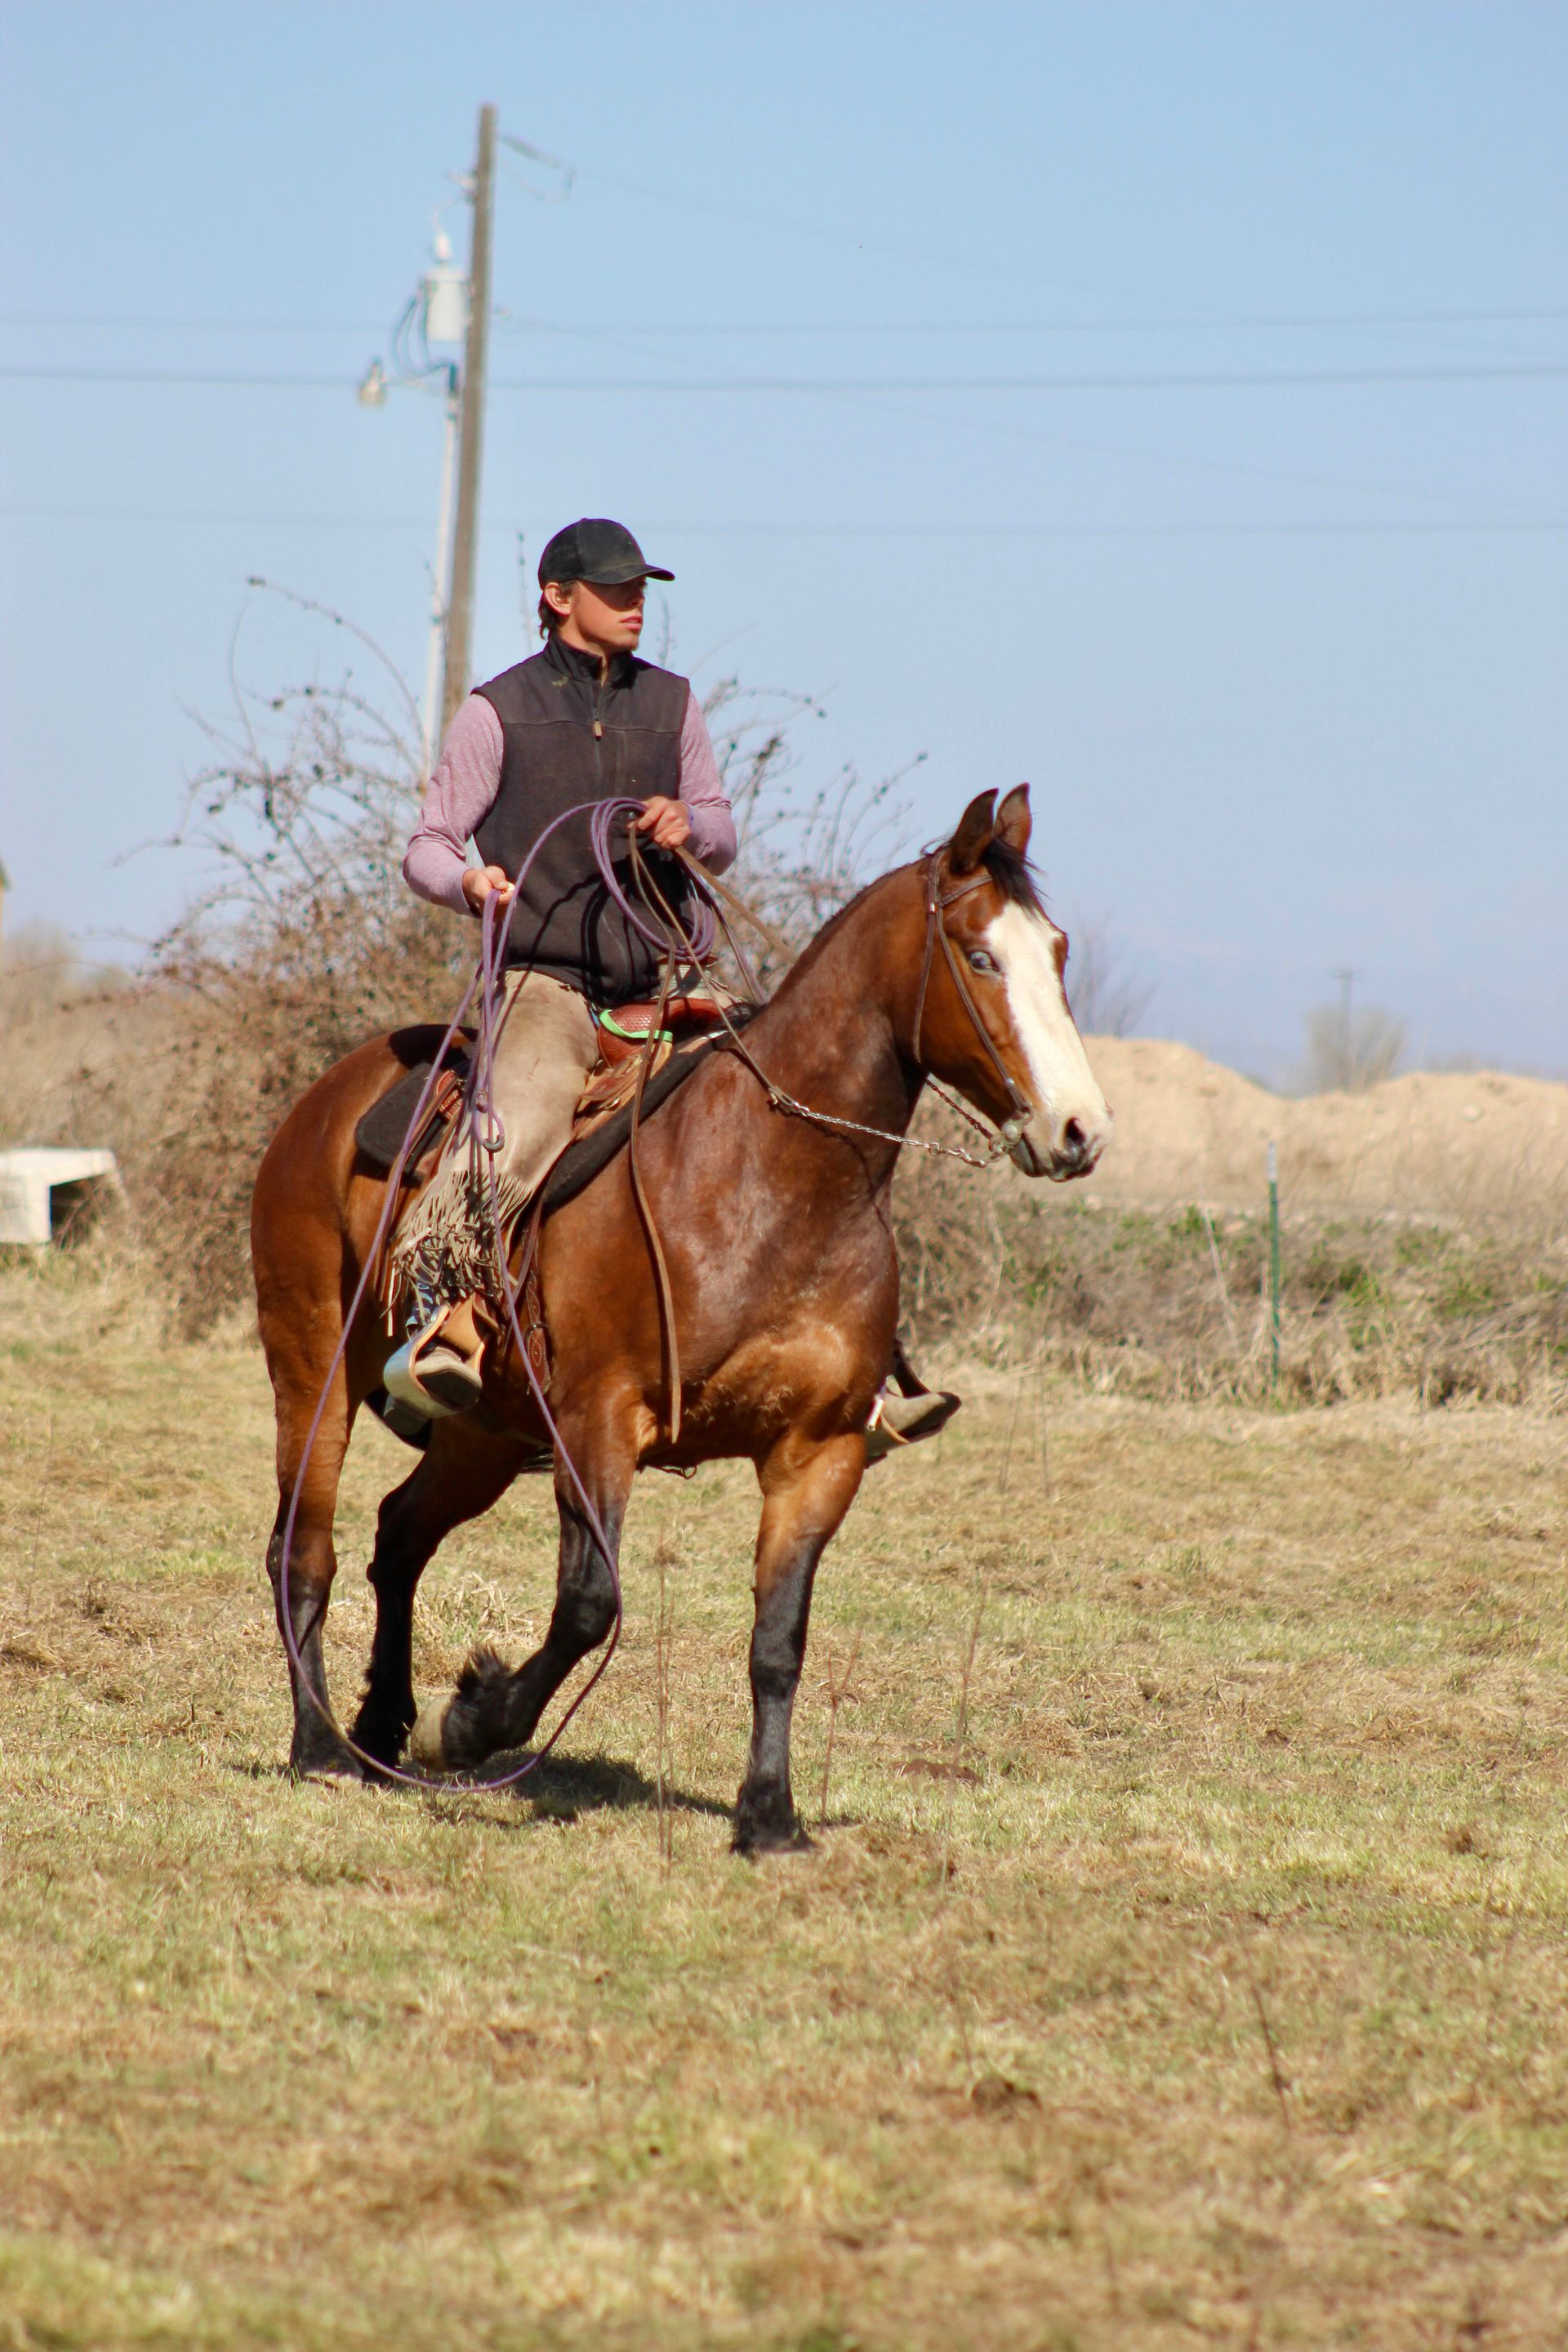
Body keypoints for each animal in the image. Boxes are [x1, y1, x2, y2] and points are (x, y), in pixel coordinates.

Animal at [250, 785, 1112, 1852]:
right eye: (982, 957)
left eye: (1057, 952)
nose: (1080, 1131)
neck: (774, 1178)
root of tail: (325, 1102)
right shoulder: (598, 1423)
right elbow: (588, 1605)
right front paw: (476, 1721)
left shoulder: (819, 1452)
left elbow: (779, 1638)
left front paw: (769, 1816)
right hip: (312, 1367)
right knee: (305, 1547)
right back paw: (321, 1745)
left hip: (486, 1432)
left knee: (400, 1533)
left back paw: (380, 1729)